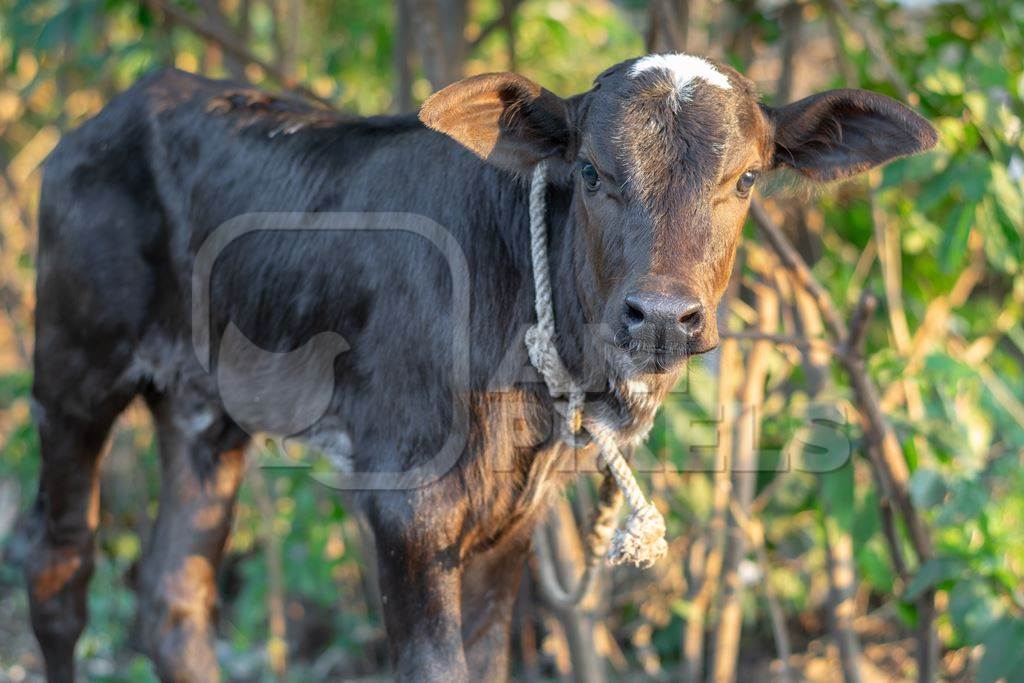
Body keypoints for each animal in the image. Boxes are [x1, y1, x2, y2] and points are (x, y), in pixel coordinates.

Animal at [24, 54, 937, 683]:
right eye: (592, 171)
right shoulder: (406, 503)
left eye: (746, 179)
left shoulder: (512, 517)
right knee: (58, 564)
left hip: (205, 412)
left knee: (171, 591)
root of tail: (118, 108)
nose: (660, 316)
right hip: (73, 369)